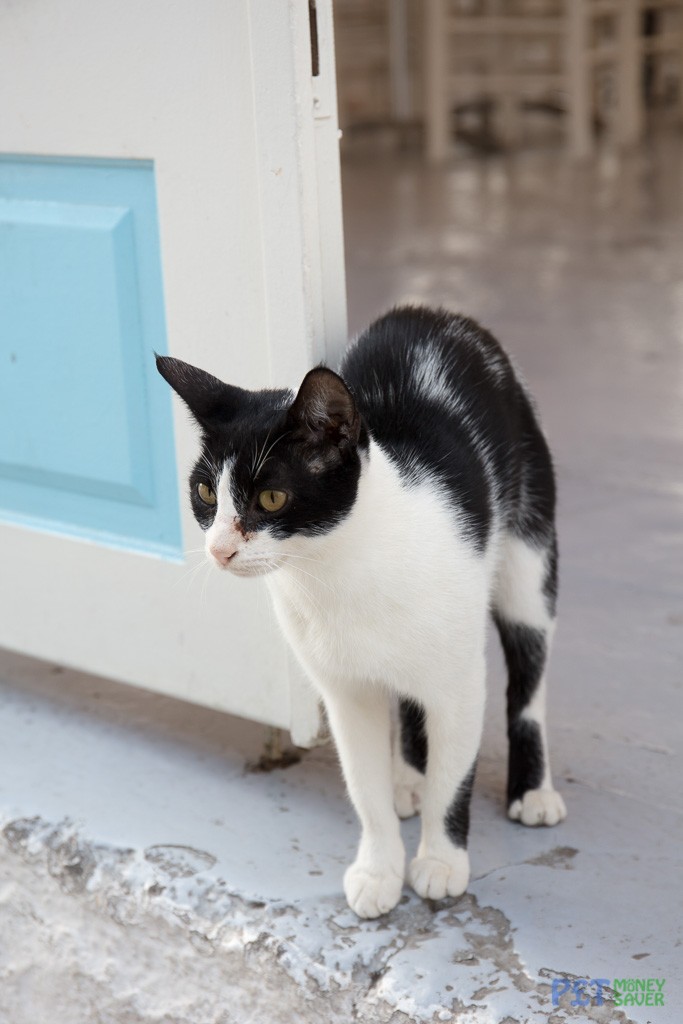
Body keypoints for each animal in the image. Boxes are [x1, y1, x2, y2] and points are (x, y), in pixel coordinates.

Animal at [157, 303, 569, 921]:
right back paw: (409, 779)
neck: (336, 569)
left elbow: (455, 775)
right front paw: (379, 868)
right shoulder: (344, 690)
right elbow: (363, 785)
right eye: (206, 493)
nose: (220, 549)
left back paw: (533, 789)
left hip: (529, 544)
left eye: (272, 498)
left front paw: (440, 860)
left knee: (529, 672)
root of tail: (436, 313)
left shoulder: (460, 681)